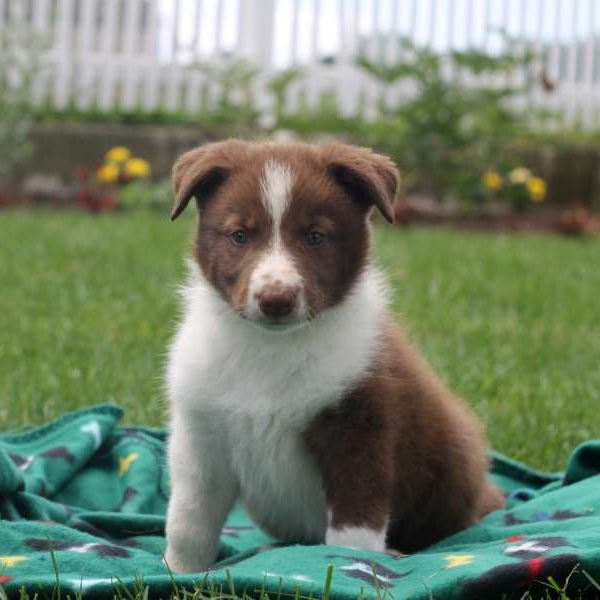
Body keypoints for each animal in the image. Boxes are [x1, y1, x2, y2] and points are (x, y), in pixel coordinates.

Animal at [163, 138, 502, 576]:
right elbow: (189, 516)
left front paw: (351, 566)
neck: (270, 348)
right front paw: (177, 571)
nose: (276, 299)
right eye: (239, 235)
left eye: (316, 236)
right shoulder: (201, 434)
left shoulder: (360, 424)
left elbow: (354, 524)